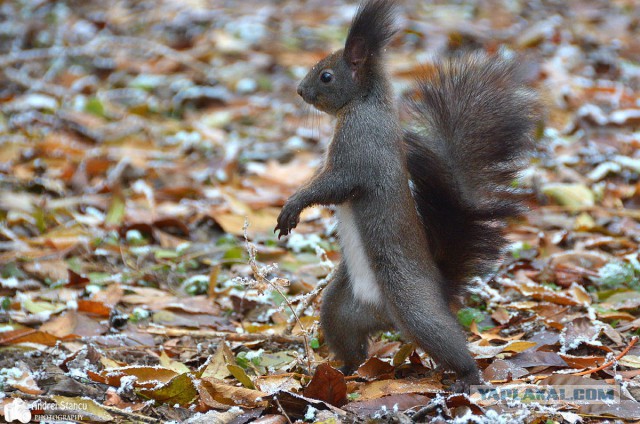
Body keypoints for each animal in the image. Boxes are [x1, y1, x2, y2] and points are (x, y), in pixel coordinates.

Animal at [274, 0, 540, 390]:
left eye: (326, 76)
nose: (299, 91)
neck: (364, 104)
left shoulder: (360, 149)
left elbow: (334, 185)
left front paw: (293, 206)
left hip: (413, 306)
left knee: (445, 339)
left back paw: (467, 377)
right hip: (339, 309)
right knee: (354, 346)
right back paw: (340, 373)